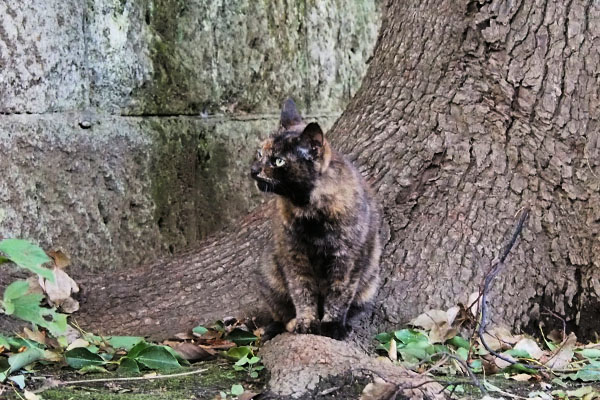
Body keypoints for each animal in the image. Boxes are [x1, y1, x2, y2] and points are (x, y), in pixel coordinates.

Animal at [251, 98, 382, 340]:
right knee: (280, 313)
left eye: (278, 161)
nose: (253, 170)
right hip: (270, 273)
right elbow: (302, 291)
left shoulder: (347, 259)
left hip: (369, 282)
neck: (309, 212)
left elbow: (339, 294)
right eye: (259, 154)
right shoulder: (294, 255)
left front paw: (332, 325)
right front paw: (306, 322)